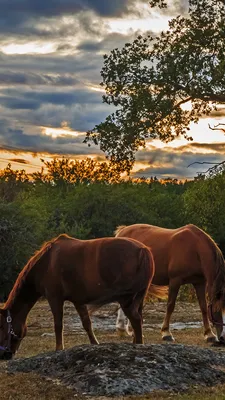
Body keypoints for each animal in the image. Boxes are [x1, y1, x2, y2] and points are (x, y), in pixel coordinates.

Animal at [0, 231, 159, 360]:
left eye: (1, 327)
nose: (4, 356)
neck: (46, 263)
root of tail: (143, 250)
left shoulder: (54, 298)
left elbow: (58, 325)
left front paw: (59, 349)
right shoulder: (78, 301)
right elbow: (87, 324)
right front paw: (95, 344)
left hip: (127, 300)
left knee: (136, 320)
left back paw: (138, 345)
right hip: (138, 298)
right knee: (139, 319)